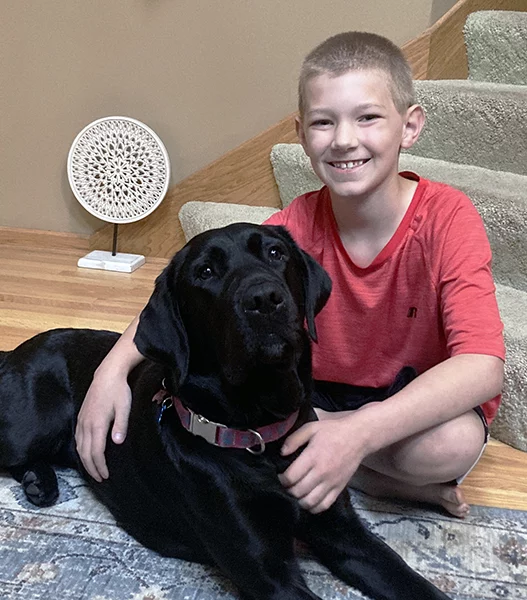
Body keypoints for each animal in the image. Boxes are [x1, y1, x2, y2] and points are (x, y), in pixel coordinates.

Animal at [2, 223, 452, 596]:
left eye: (275, 252)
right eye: (204, 272)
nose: (265, 299)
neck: (261, 435)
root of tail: (17, 350)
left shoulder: (346, 534)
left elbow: (415, 584)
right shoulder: (269, 574)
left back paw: (40, 482)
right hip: (32, 426)